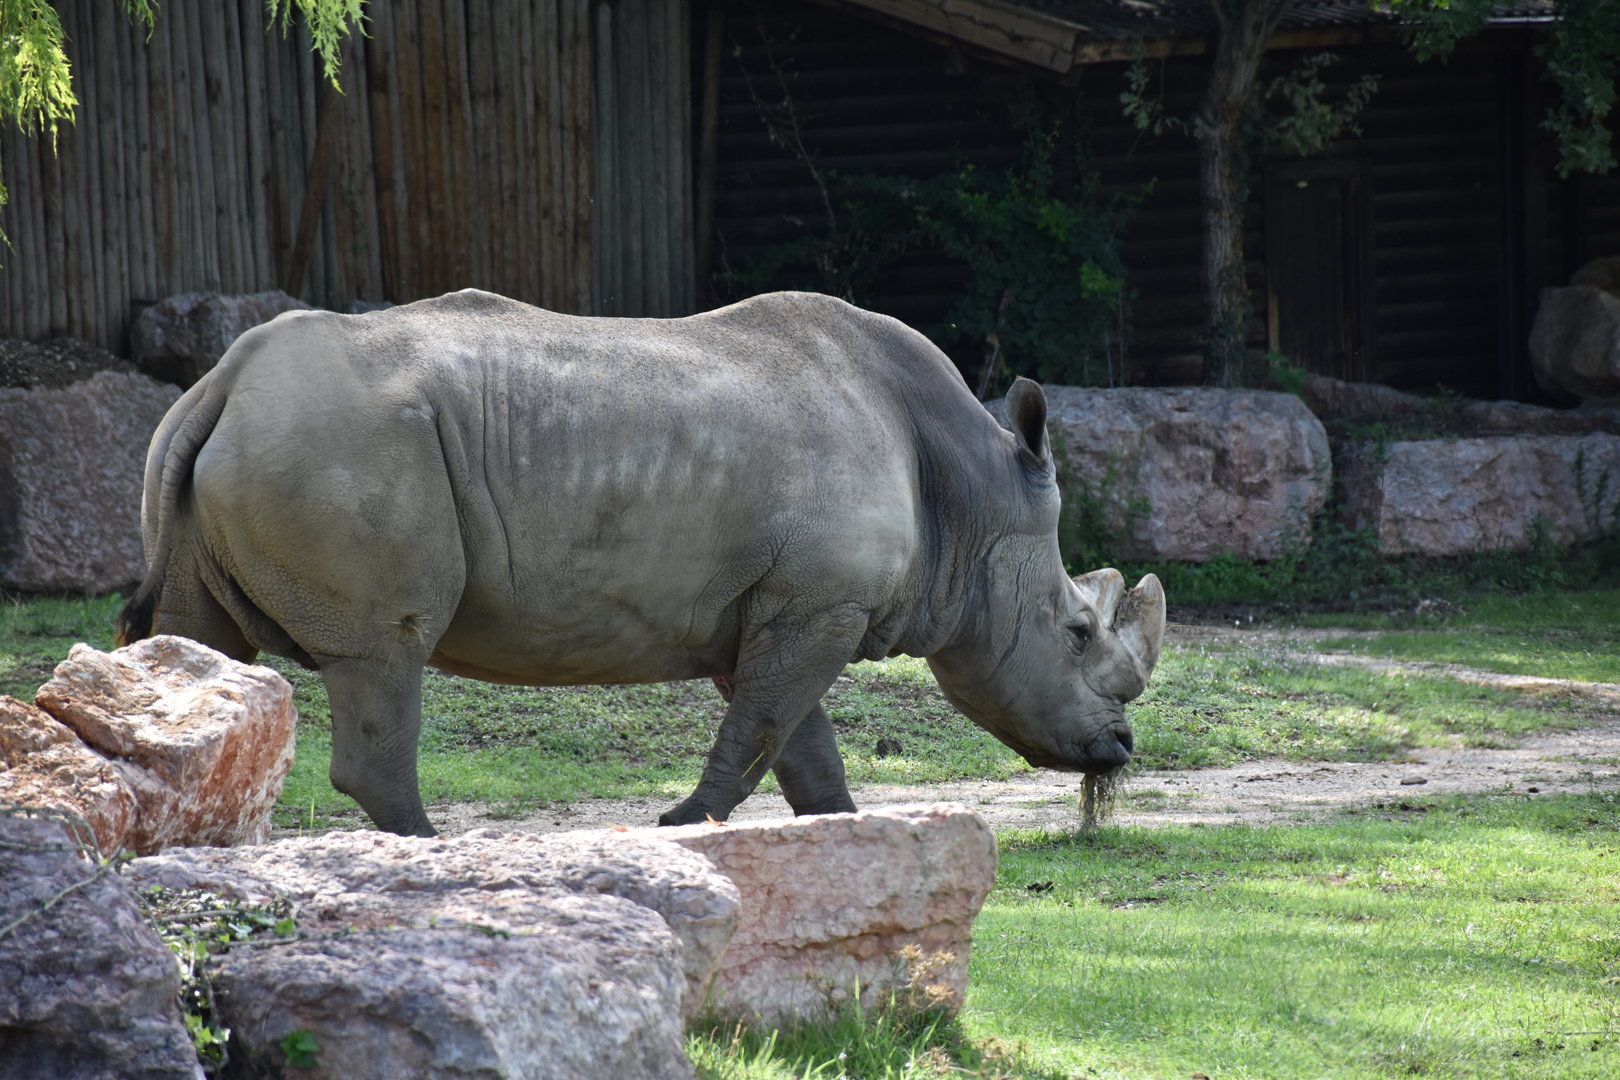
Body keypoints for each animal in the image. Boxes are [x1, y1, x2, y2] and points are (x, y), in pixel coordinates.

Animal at [117, 289, 1165, 836]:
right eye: (1077, 632)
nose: (1117, 751)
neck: (970, 505)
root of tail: (222, 380)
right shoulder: (815, 604)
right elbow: (766, 729)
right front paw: (681, 828)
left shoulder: (785, 606)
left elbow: (798, 740)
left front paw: (839, 832)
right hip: (342, 447)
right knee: (385, 651)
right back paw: (429, 848)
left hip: (253, 445)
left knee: (200, 646)